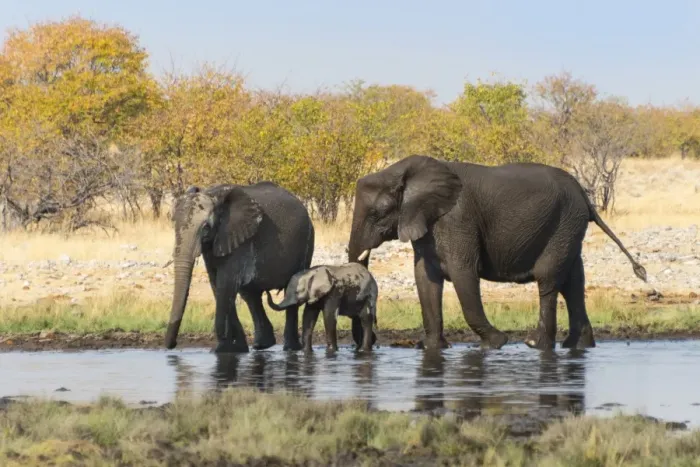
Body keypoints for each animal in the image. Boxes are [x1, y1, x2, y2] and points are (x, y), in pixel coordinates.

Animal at [164, 181, 315, 353]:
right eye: (173, 225)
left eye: (206, 228)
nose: (173, 345)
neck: (214, 195)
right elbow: (216, 284)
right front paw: (236, 349)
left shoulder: (238, 239)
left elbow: (225, 284)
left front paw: (221, 350)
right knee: (250, 295)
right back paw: (262, 345)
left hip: (307, 241)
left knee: (291, 288)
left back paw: (290, 348)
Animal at [347, 154, 647, 351]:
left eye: (376, 213)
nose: (369, 343)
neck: (406, 172)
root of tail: (585, 196)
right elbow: (425, 279)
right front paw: (430, 348)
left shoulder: (458, 219)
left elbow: (463, 274)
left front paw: (496, 343)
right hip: (570, 228)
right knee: (573, 282)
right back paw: (577, 346)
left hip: (564, 224)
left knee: (548, 280)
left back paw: (536, 344)